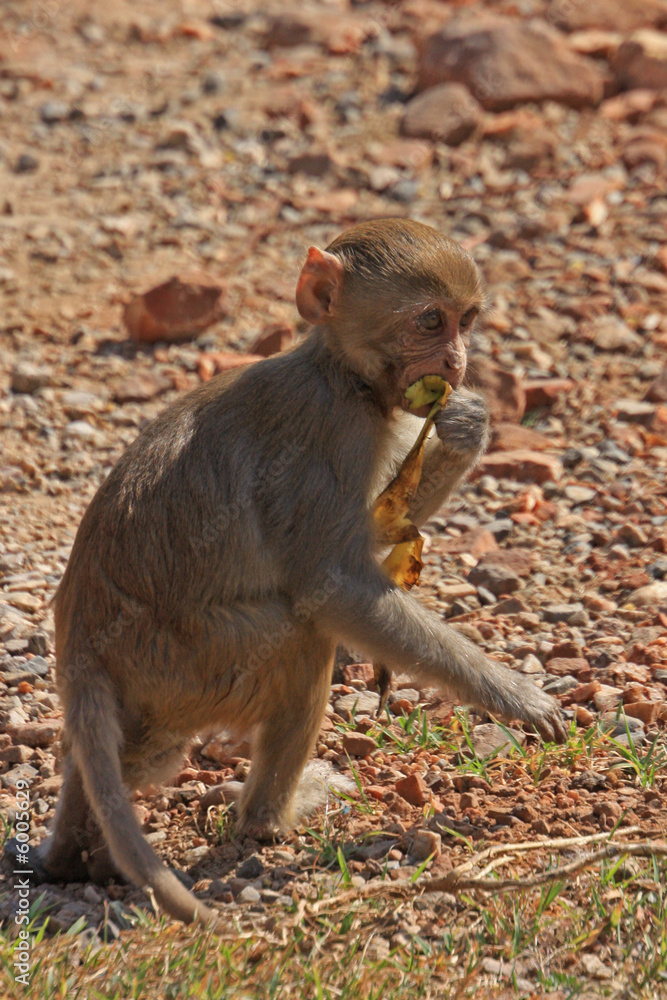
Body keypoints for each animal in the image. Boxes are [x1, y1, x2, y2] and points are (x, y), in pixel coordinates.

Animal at [6, 219, 566, 928]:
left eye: (466, 321)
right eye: (429, 321)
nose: (457, 363)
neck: (342, 375)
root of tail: (80, 648)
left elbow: (374, 533)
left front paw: (469, 426)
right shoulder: (332, 433)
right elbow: (332, 585)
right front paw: (516, 696)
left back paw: (77, 853)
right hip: (193, 660)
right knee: (302, 642)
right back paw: (266, 823)